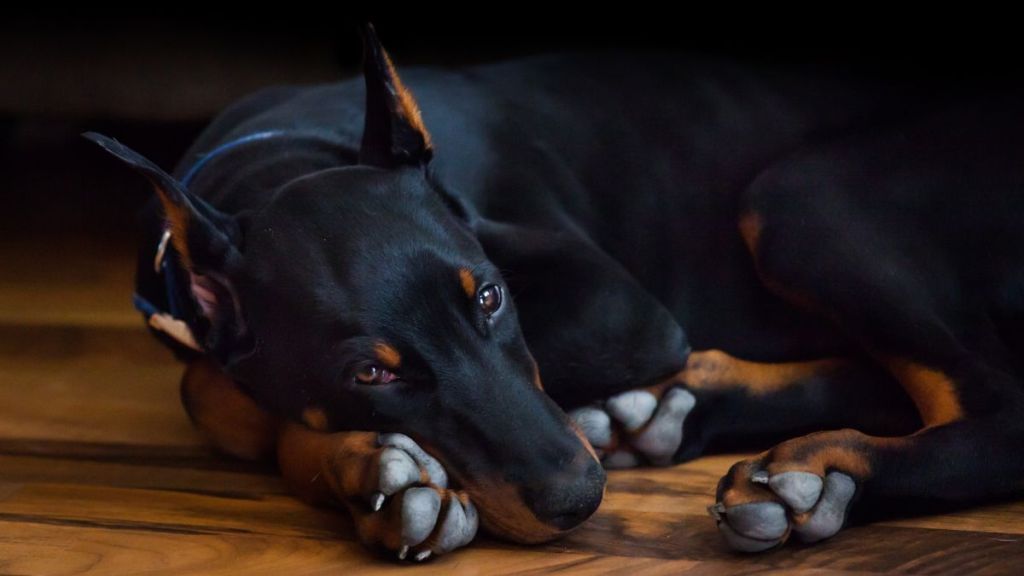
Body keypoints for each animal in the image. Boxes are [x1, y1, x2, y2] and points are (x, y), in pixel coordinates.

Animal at [88, 24, 1024, 557]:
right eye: (370, 374)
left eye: (492, 299)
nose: (579, 501)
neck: (281, 158)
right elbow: (214, 388)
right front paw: (374, 472)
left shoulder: (621, 309)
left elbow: (231, 395)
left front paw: (378, 473)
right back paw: (671, 413)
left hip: (796, 197)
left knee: (994, 409)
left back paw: (823, 477)